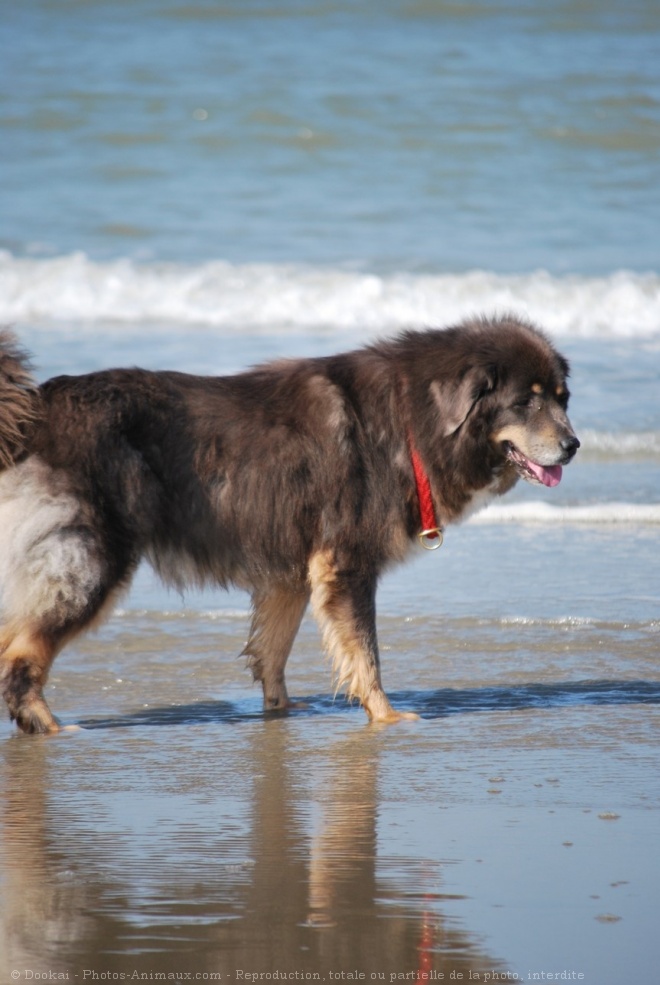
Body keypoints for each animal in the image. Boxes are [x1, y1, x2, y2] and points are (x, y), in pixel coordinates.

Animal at [0, 316, 576, 732]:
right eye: (524, 402)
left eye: (562, 398)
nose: (573, 445)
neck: (412, 418)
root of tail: (33, 410)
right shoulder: (346, 564)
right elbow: (366, 654)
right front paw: (386, 717)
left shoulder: (291, 569)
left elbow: (273, 650)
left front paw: (279, 710)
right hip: (92, 563)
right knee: (23, 652)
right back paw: (49, 727)